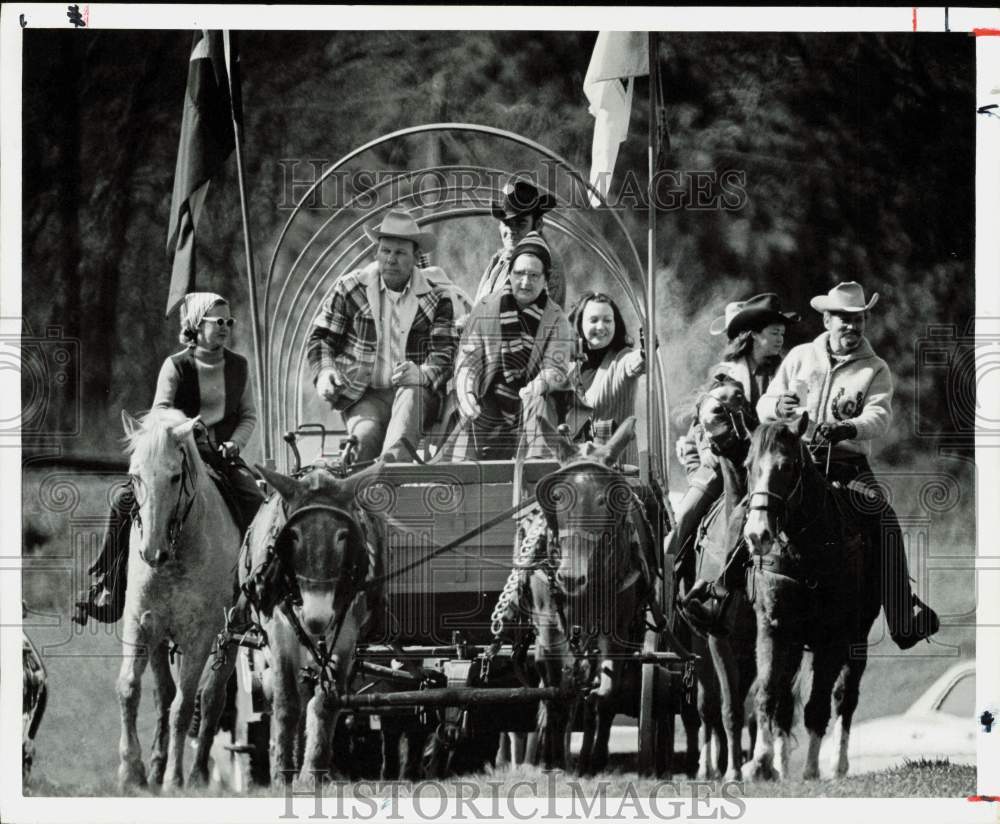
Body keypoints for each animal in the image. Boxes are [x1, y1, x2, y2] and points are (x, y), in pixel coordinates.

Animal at [116, 408, 240, 788]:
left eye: (174, 477)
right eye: (135, 475)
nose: (151, 552)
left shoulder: (199, 636)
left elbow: (185, 706)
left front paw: (175, 778)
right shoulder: (142, 625)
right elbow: (130, 689)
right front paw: (132, 772)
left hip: (230, 640)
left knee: (211, 698)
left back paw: (196, 773)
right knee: (164, 695)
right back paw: (156, 768)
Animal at [528, 418, 660, 772]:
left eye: (606, 499)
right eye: (557, 496)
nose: (571, 578)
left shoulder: (618, 628)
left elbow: (606, 694)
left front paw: (594, 759)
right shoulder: (549, 624)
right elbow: (557, 692)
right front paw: (551, 759)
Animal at [740, 416, 880, 784]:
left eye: (787, 466)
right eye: (747, 466)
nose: (757, 535)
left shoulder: (832, 639)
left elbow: (818, 705)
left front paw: (811, 769)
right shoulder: (772, 629)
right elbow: (768, 694)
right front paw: (759, 762)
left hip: (857, 640)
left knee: (844, 697)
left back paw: (837, 765)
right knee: (785, 703)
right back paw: (780, 764)